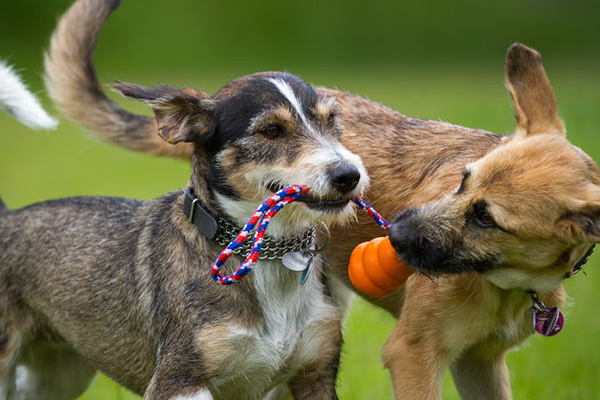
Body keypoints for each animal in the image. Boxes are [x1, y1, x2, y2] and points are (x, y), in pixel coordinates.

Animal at [42, 0, 600, 400]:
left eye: (487, 218)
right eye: (461, 181)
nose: (395, 231)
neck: (509, 284)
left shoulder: (480, 363)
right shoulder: (414, 353)